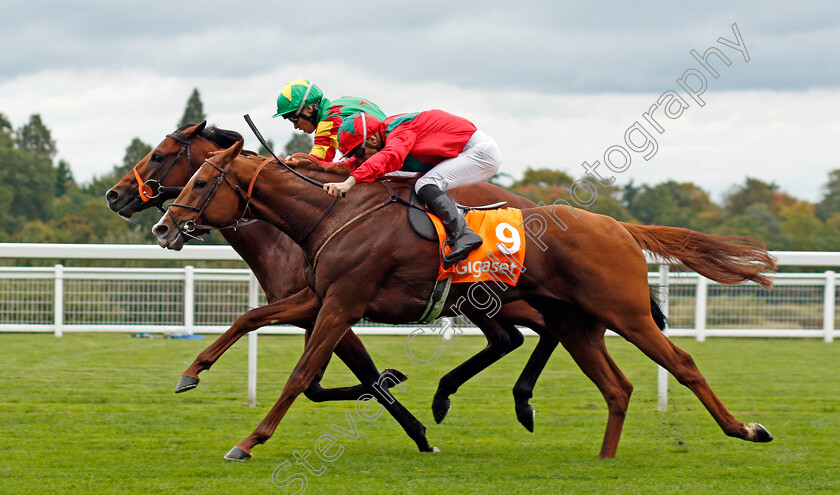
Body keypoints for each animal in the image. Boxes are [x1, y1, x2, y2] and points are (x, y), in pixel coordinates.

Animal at [149, 140, 776, 462]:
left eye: (198, 181)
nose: (162, 225)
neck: (329, 214)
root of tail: (617, 226)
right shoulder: (317, 297)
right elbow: (250, 317)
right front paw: (190, 373)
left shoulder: (342, 305)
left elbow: (303, 376)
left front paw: (247, 442)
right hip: (578, 323)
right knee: (613, 384)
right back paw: (601, 457)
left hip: (622, 311)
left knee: (682, 363)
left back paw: (746, 430)